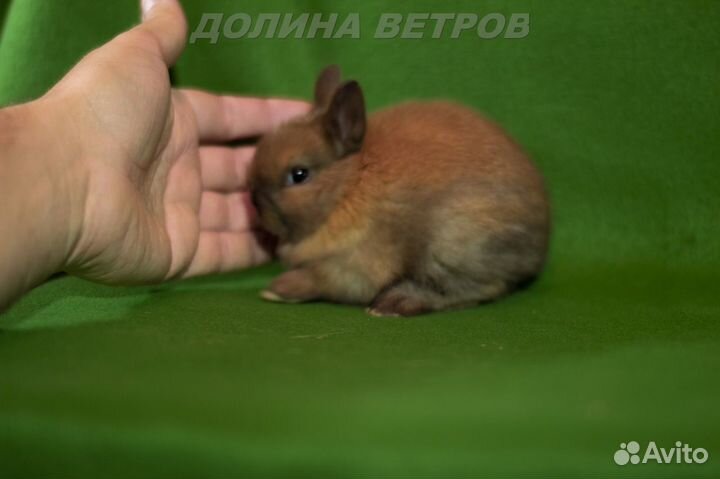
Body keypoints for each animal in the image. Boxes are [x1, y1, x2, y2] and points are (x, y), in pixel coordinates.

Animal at [248, 65, 550, 317]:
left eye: (299, 175)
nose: (255, 206)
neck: (349, 185)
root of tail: (539, 246)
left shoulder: (355, 265)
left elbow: (320, 279)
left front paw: (277, 289)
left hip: (453, 244)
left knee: (482, 287)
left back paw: (395, 303)